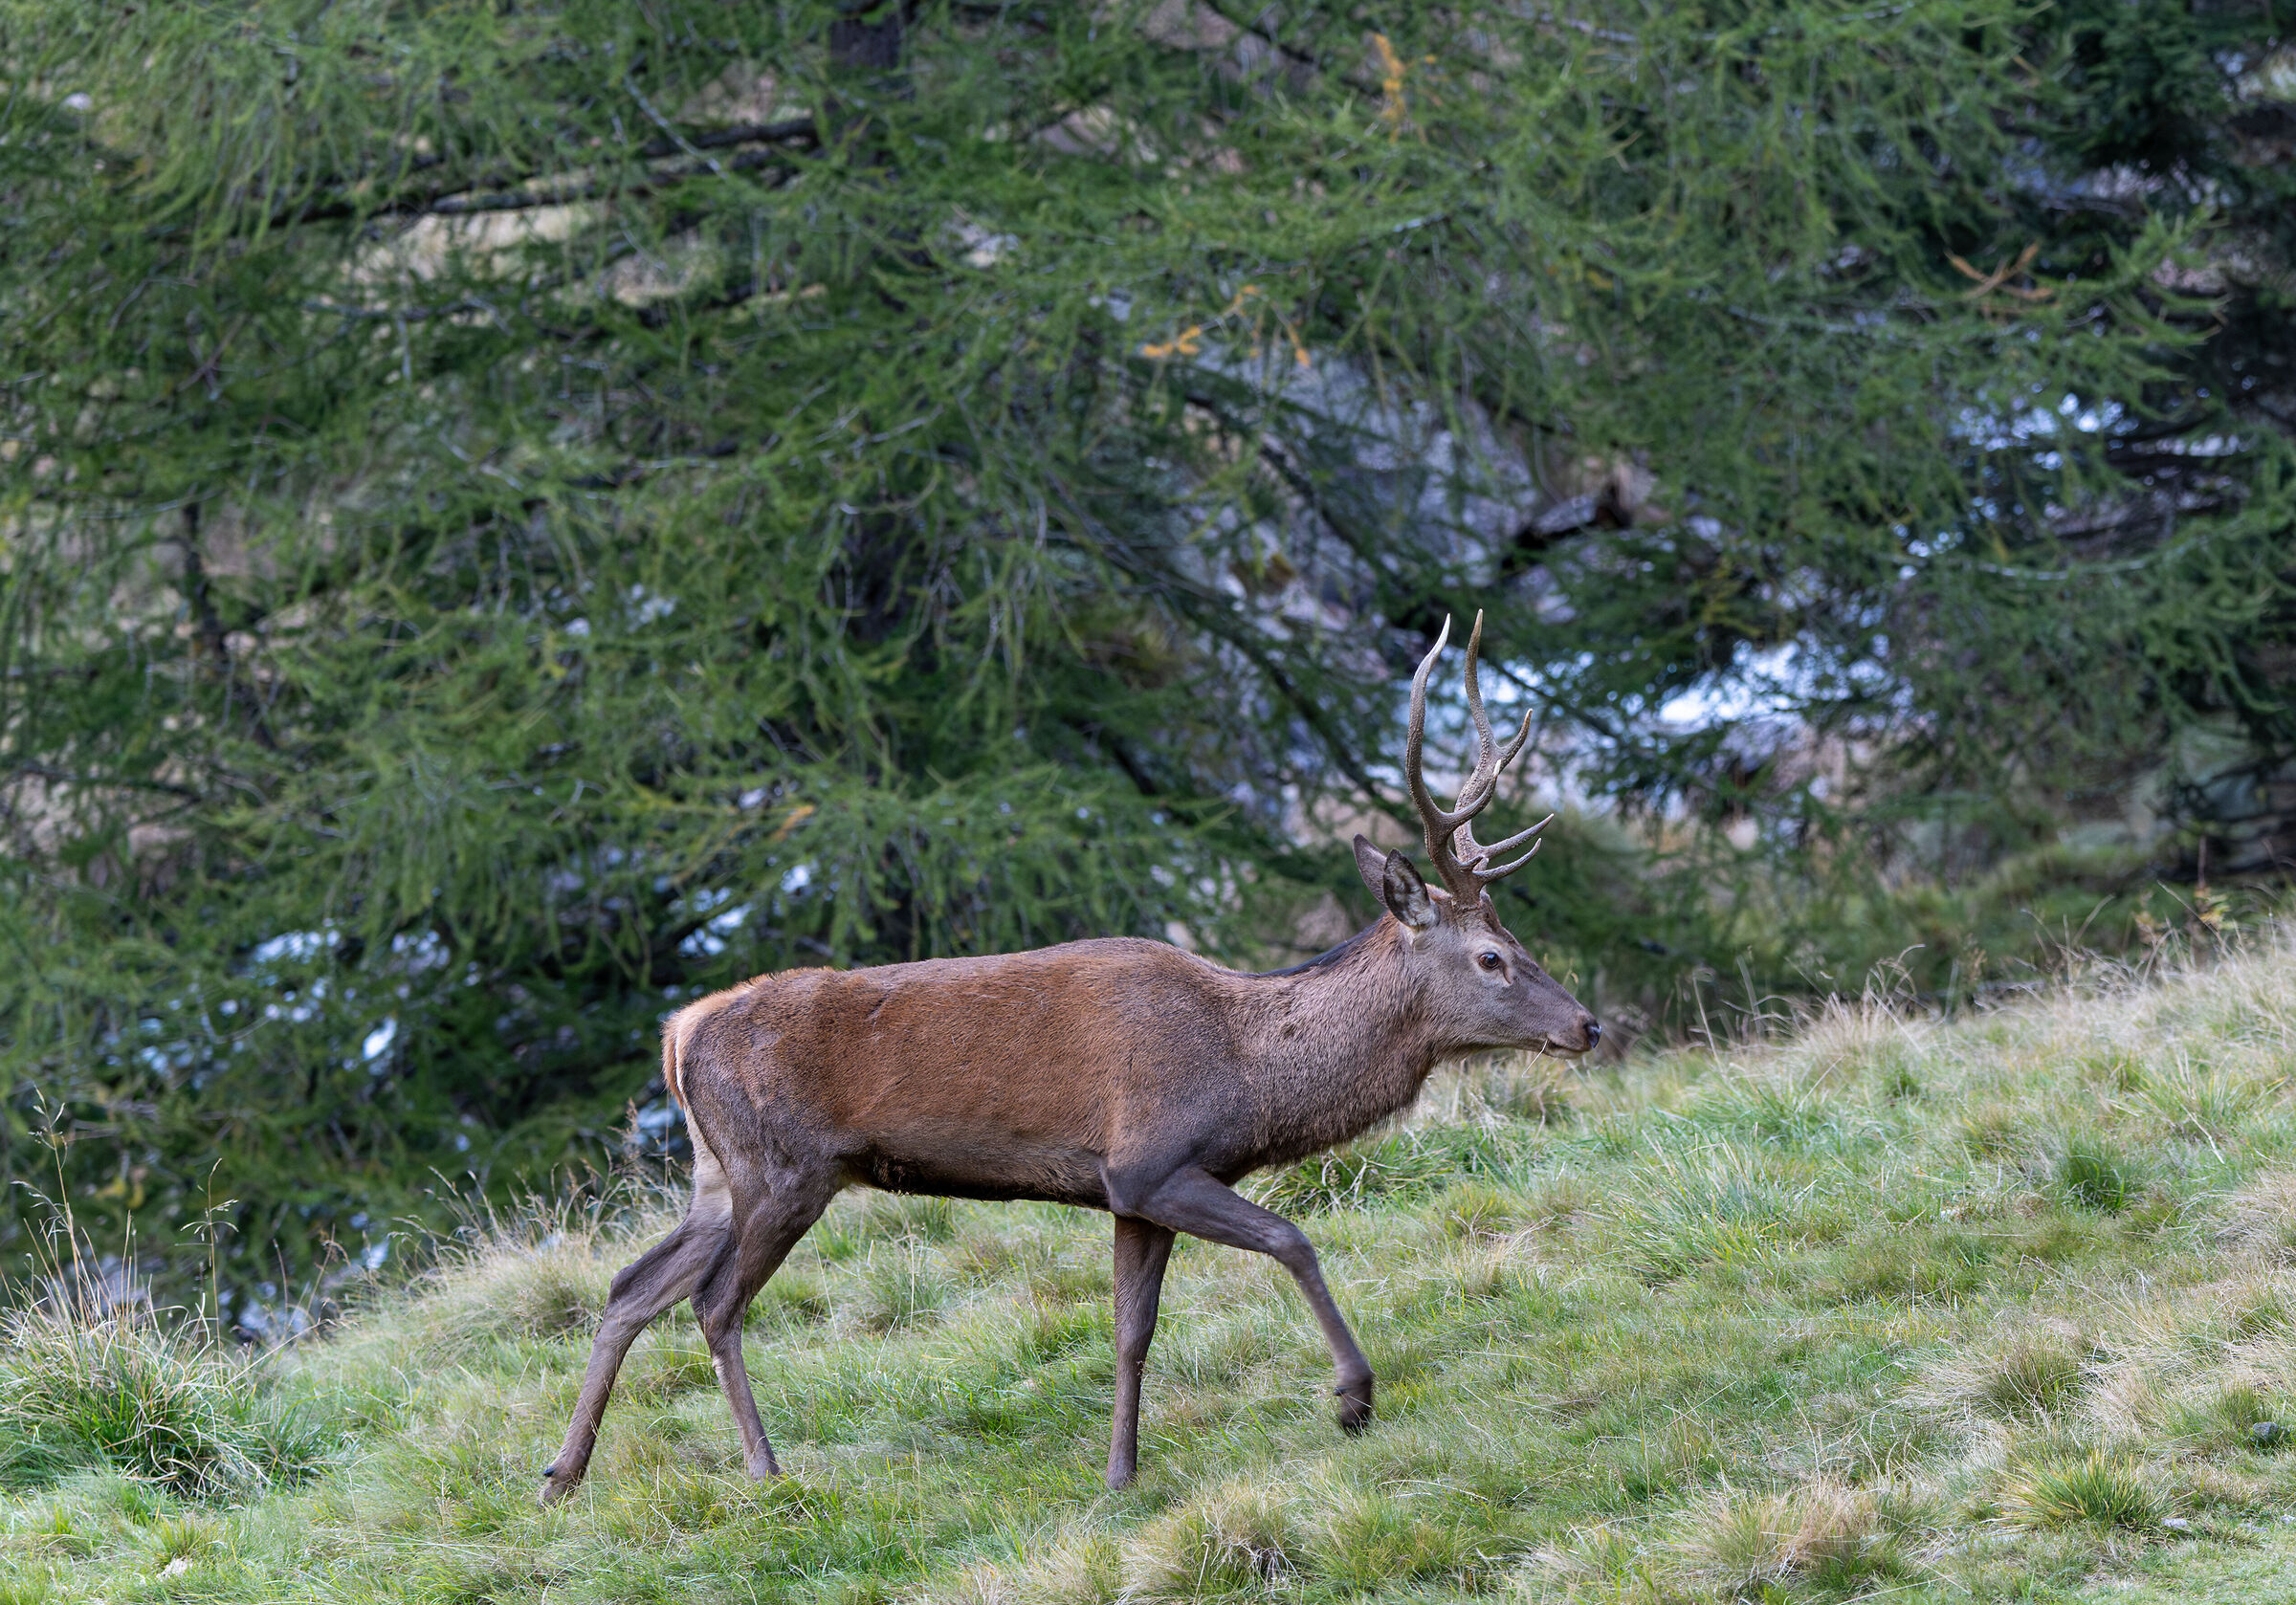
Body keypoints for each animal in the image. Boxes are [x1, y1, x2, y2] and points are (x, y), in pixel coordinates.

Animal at [540, 611, 1599, 1503]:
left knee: (631, 1286)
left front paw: (1121, 1474)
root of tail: (680, 1031)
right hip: (784, 1166)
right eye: (1493, 956)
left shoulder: (1133, 1191)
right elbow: (1291, 1239)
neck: (1250, 1071)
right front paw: (1353, 1396)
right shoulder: (1155, 1159)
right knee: (713, 1303)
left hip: (718, 1174)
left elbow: (1132, 1330)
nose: (1586, 1025)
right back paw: (764, 1470)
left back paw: (562, 1472)